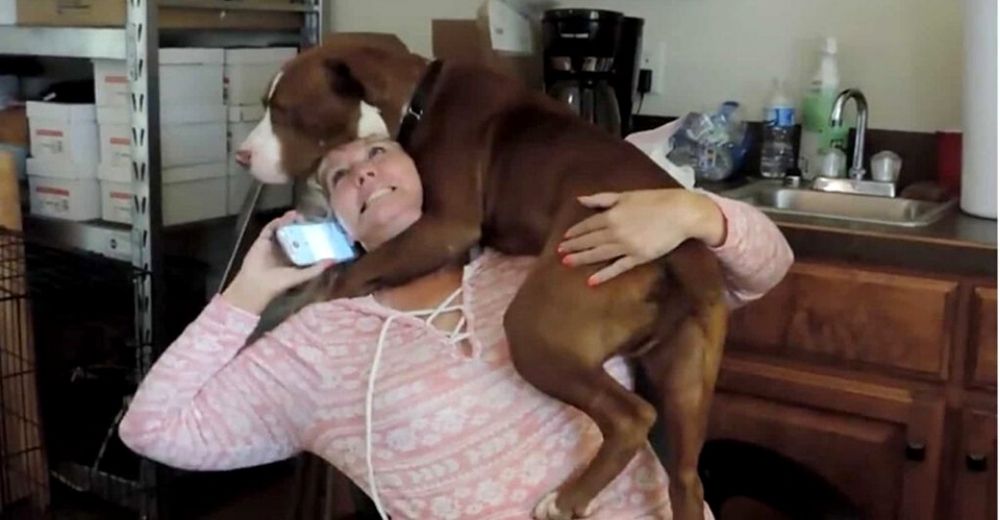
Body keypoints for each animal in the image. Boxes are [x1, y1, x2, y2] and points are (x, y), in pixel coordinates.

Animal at [239, 37, 732, 520]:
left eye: (284, 110)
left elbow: (351, 272)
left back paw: (565, 501)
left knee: (631, 418)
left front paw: (297, 300)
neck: (417, 103)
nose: (241, 156)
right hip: (687, 375)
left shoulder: (444, 229)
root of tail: (683, 253)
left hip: (537, 328)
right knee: (686, 477)